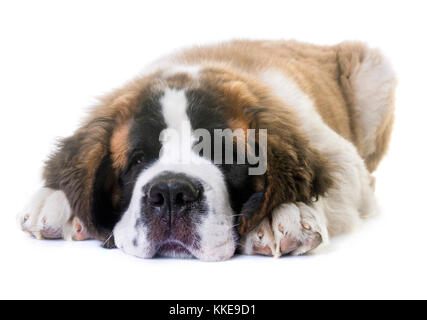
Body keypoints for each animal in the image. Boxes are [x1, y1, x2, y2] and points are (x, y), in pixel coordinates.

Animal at [18, 40, 396, 262]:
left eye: (225, 157)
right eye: (138, 160)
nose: (171, 193)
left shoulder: (340, 157)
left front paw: (280, 215)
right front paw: (54, 200)